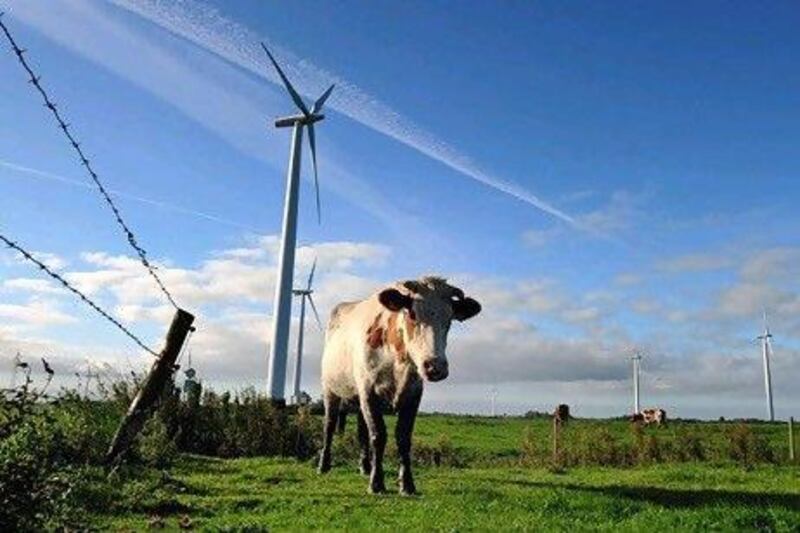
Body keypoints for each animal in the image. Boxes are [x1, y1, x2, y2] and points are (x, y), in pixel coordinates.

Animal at [318, 276, 482, 492]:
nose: (435, 366)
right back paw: (324, 465)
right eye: (412, 314)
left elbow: (403, 437)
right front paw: (376, 483)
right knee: (329, 425)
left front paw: (407, 483)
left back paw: (365, 466)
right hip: (330, 389)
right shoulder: (368, 391)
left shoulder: (413, 395)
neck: (399, 367)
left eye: (449, 320)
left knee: (362, 430)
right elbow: (378, 436)